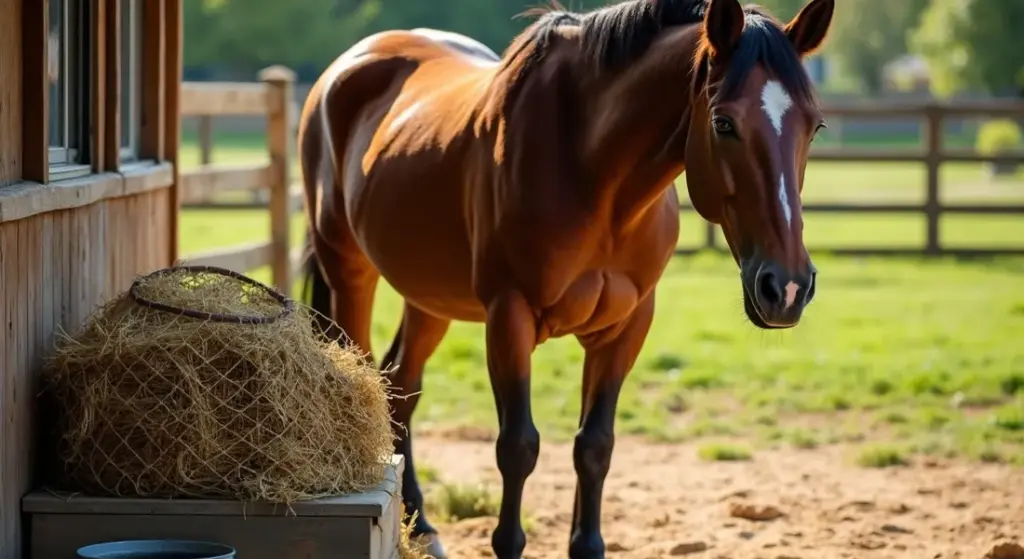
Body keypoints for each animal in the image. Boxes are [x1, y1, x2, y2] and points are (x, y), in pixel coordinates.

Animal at [298, 0, 834, 557]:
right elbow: (518, 447)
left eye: (815, 126)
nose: (787, 287)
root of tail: (348, 67)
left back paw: (421, 524)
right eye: (724, 122)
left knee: (401, 385)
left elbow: (595, 446)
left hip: (429, 297)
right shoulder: (509, 318)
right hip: (348, 270)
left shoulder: (626, 327)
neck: (592, 173)